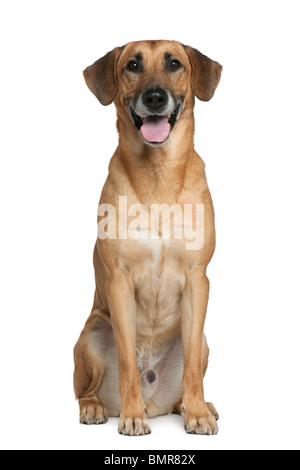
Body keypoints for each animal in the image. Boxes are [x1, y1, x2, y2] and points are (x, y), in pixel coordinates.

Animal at [73, 40, 221, 436]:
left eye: (174, 64)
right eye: (133, 65)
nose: (155, 97)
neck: (158, 173)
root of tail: (156, 401)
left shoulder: (198, 280)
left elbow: (191, 369)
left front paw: (197, 413)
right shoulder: (119, 281)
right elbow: (126, 360)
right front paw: (131, 415)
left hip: (203, 339)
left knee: (188, 375)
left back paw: (194, 405)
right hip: (92, 331)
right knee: (85, 390)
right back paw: (97, 408)